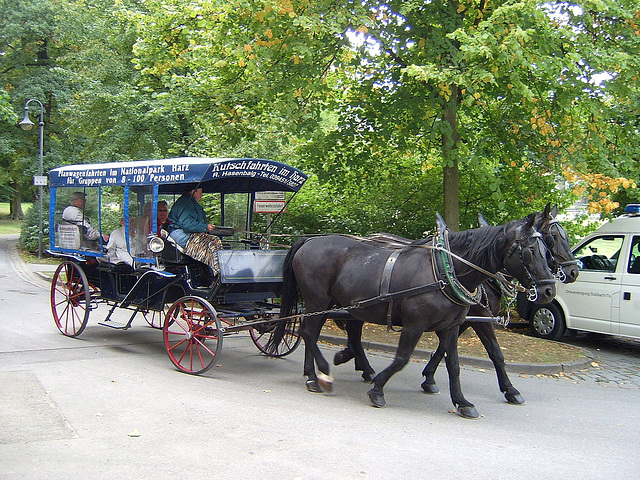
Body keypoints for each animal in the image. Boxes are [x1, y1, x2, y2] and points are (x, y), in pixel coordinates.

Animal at [276, 210, 556, 416]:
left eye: (547, 249)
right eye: (531, 250)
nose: (549, 290)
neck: (445, 270)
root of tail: (310, 240)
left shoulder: (451, 326)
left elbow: (454, 364)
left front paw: (462, 401)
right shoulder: (415, 324)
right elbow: (402, 359)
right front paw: (378, 389)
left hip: (336, 305)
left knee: (318, 333)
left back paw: (314, 375)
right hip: (317, 301)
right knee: (309, 333)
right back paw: (323, 373)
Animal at [336, 202, 580, 404]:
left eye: (549, 244)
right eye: (554, 238)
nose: (572, 272)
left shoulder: (462, 319)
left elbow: (446, 350)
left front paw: (430, 379)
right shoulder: (480, 317)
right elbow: (494, 352)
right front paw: (510, 390)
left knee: (353, 328)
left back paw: (357, 362)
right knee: (353, 328)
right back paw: (358, 362)